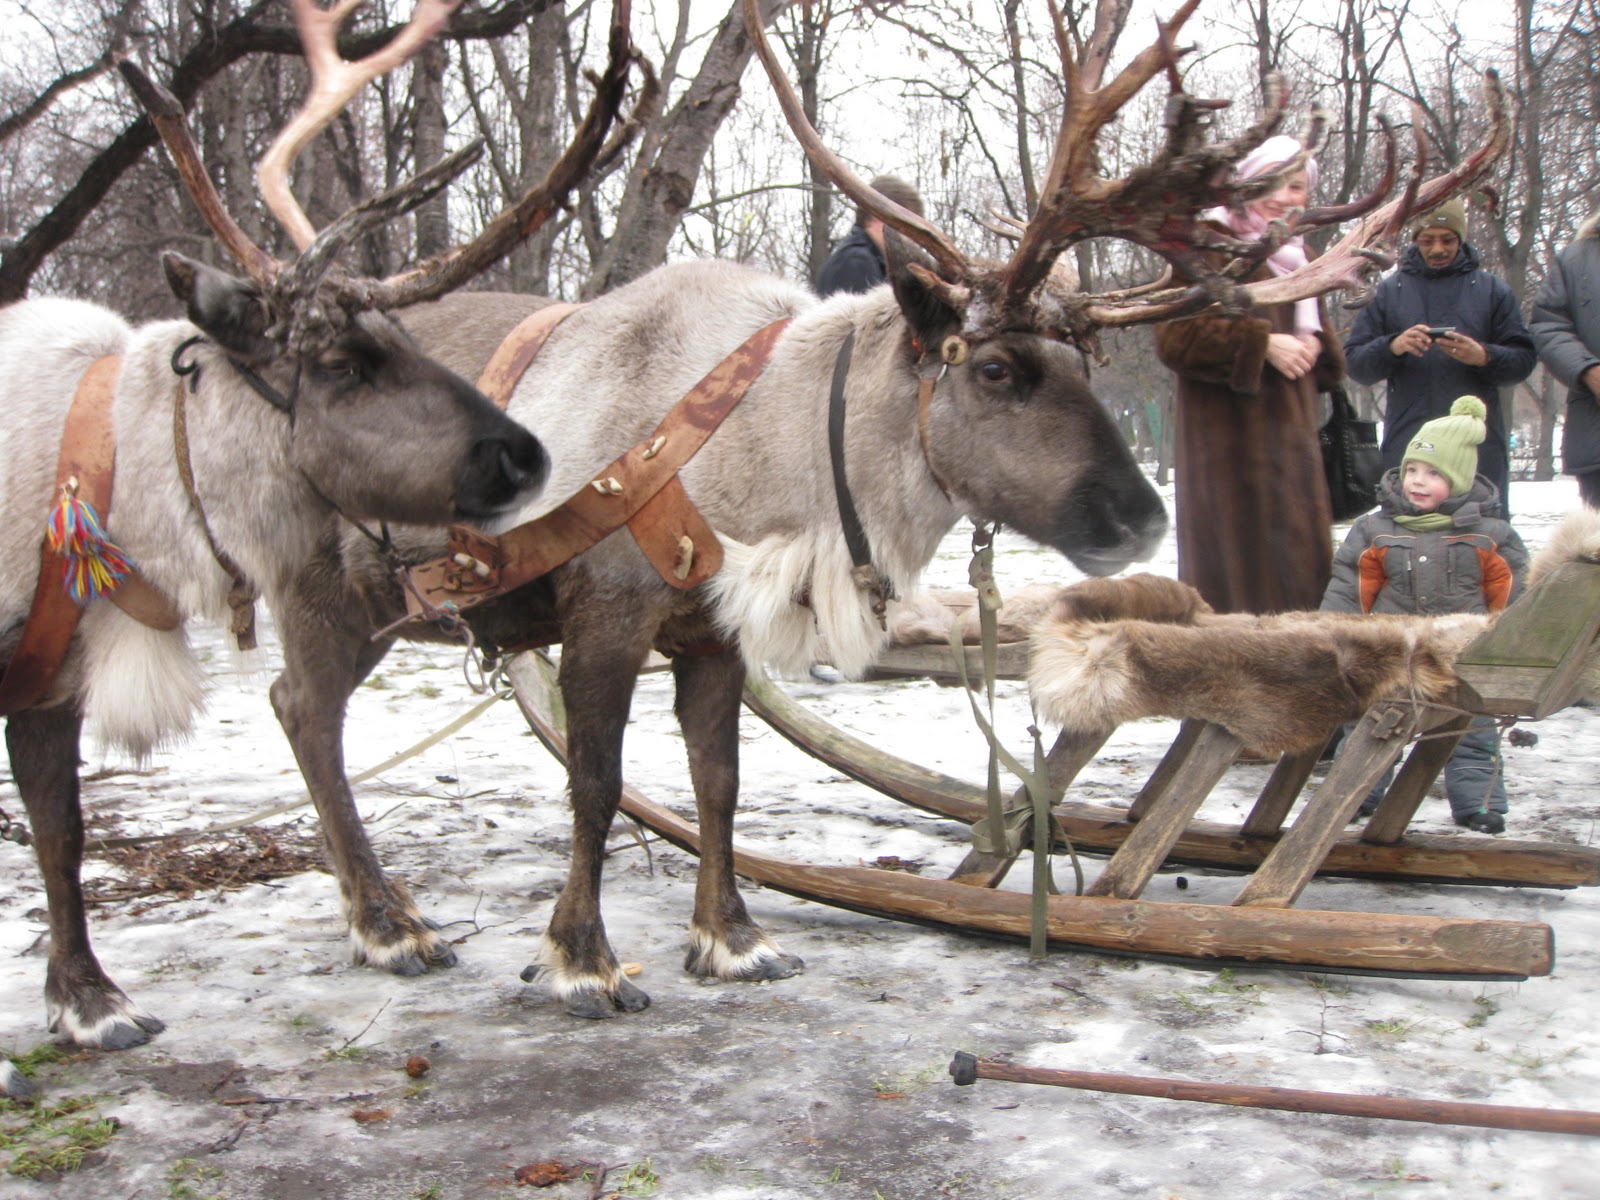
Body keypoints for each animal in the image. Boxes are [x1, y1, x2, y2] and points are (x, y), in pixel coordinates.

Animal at [0, 0, 640, 1099]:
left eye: (411, 336)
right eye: (341, 362)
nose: (527, 453)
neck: (98, 473)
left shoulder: (47, 675)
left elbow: (59, 829)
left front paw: (85, 1003)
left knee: (296, 707)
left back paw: (387, 916)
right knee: (301, 705)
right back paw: (386, 922)